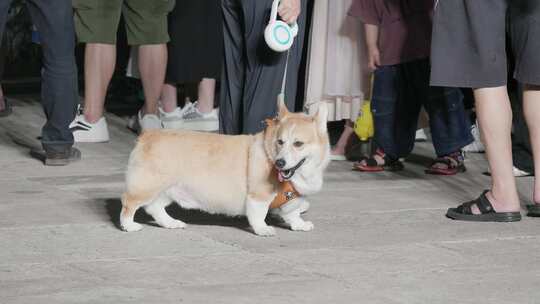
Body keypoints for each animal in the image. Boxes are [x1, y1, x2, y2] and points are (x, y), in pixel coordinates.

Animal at [119, 98, 330, 236]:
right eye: (280, 142)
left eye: (298, 144)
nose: (280, 163)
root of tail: (146, 136)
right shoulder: (258, 196)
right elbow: (258, 215)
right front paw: (262, 229)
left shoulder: (292, 198)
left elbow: (293, 212)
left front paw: (300, 224)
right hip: (148, 185)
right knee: (130, 203)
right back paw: (129, 226)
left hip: (168, 189)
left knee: (154, 207)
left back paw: (171, 223)